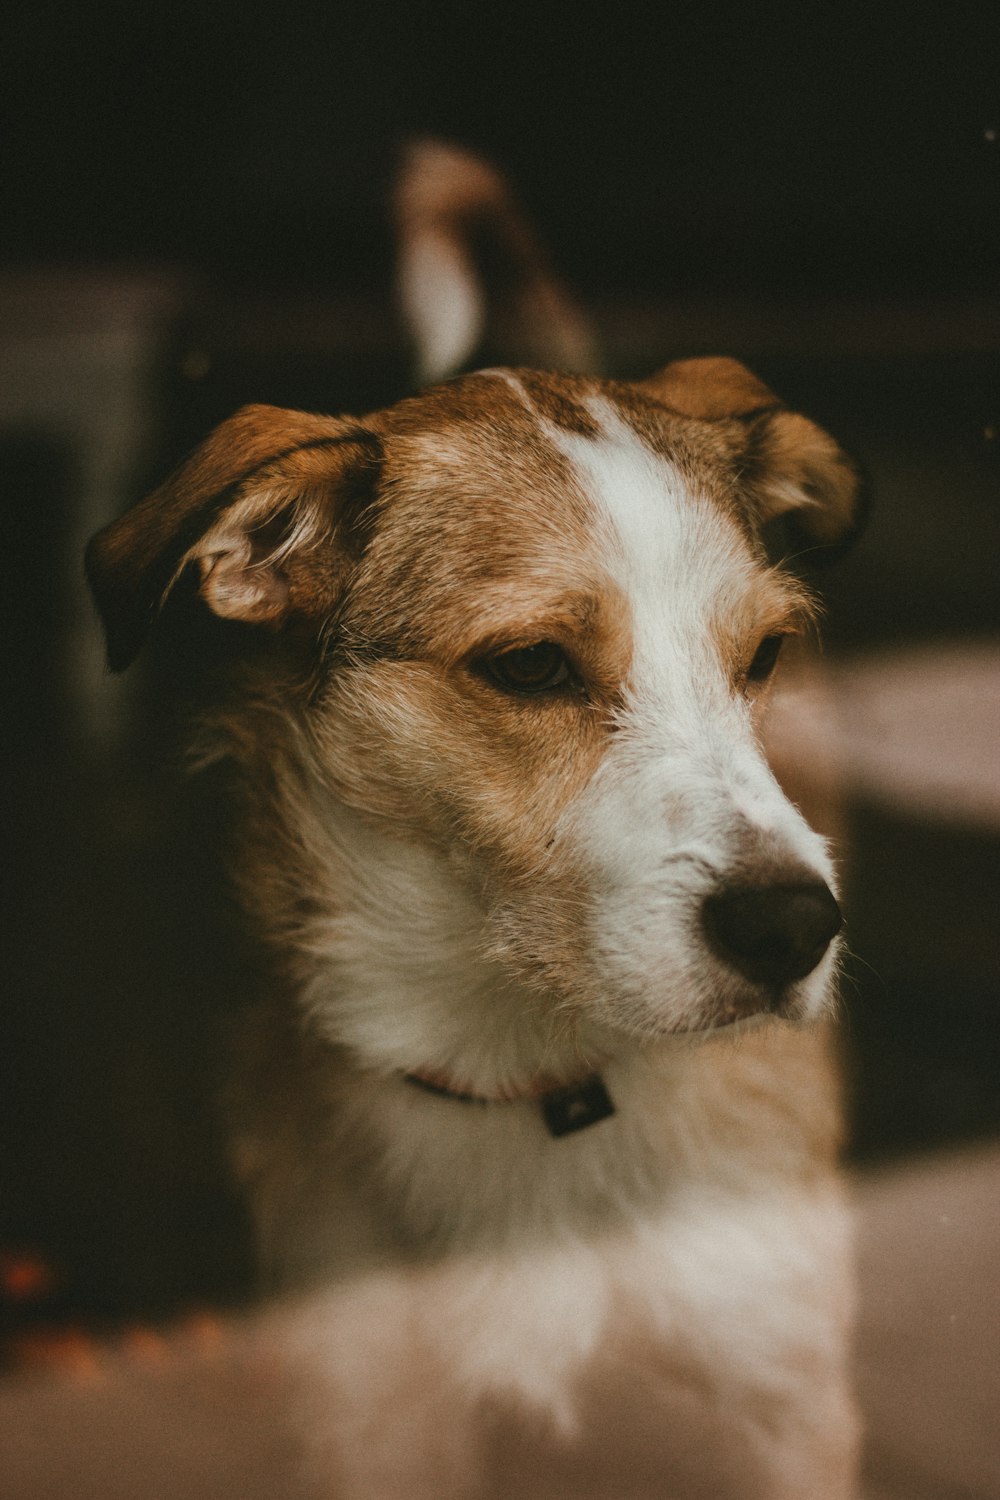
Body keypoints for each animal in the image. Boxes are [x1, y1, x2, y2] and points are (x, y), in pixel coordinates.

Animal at [86, 158, 863, 1494]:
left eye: (764, 654)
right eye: (531, 665)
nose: (790, 931)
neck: (532, 1078)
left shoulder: (780, 1401)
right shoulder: (374, 1409)